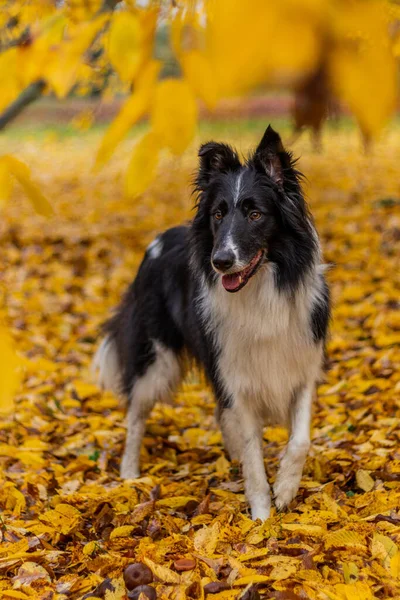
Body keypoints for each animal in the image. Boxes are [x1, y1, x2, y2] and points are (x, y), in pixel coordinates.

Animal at [92, 125, 330, 520]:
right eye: (218, 215)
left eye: (255, 214)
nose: (221, 261)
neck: (262, 290)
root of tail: (157, 242)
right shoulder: (237, 376)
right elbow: (253, 455)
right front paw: (262, 517)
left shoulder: (300, 366)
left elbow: (300, 439)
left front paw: (285, 488)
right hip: (155, 358)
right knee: (136, 414)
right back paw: (129, 474)